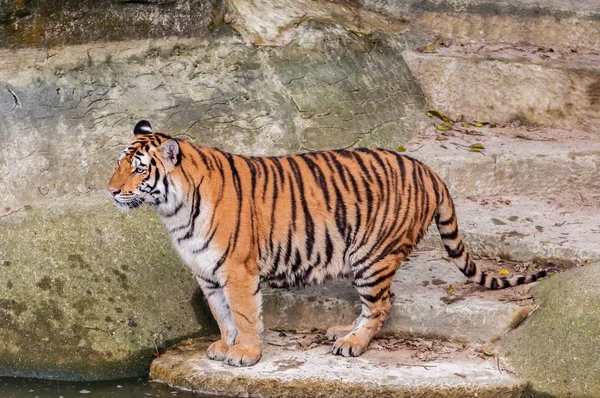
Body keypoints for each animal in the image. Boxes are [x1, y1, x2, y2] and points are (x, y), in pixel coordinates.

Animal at [106, 120, 544, 366]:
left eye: (139, 169)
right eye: (118, 164)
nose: (110, 190)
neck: (173, 212)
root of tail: (428, 170)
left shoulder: (237, 269)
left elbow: (243, 314)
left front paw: (245, 354)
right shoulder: (207, 272)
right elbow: (221, 313)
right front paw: (223, 346)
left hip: (372, 256)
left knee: (382, 304)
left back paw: (352, 344)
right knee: (380, 303)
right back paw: (343, 331)